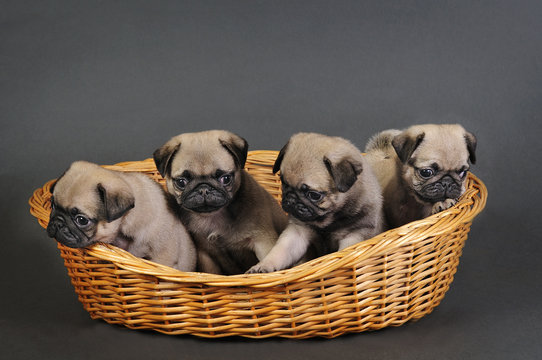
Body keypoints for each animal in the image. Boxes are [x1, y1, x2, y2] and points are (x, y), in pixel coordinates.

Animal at [153, 131, 288, 274]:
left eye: (226, 178)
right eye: (181, 182)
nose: (204, 189)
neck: (213, 216)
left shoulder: (263, 242)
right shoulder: (205, 254)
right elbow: (211, 271)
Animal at [248, 132, 386, 272]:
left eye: (314, 195)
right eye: (284, 184)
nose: (291, 199)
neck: (327, 221)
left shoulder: (354, 235)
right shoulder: (297, 233)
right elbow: (280, 252)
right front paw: (264, 265)